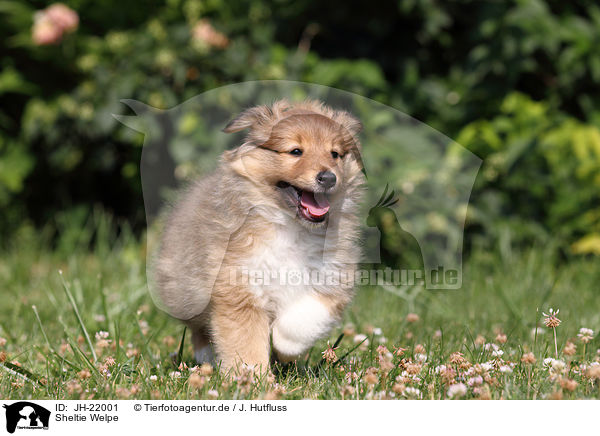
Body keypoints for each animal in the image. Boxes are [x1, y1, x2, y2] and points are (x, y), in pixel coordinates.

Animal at [155, 99, 364, 374]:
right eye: (296, 151)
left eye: (335, 154)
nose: (329, 177)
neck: (292, 227)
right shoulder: (239, 289)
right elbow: (246, 343)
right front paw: (252, 378)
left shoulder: (334, 277)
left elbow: (307, 317)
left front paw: (285, 346)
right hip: (187, 290)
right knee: (199, 328)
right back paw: (207, 357)